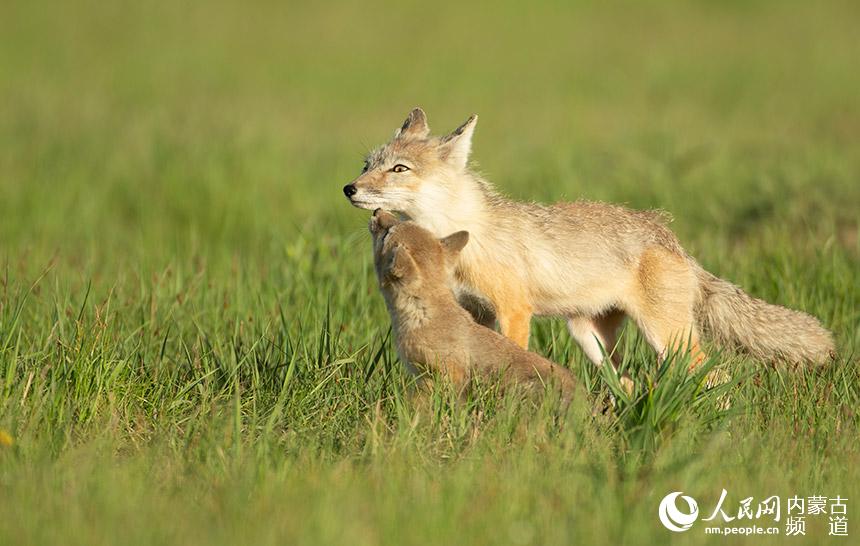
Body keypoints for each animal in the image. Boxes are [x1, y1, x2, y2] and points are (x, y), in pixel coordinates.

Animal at [340, 107, 832, 374]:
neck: (463, 235)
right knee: (628, 382)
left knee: (716, 381)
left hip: (667, 339)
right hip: (591, 341)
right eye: (367, 164)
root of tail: (671, 238)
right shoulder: (474, 312)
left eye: (399, 169)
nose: (349, 188)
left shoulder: (514, 310)